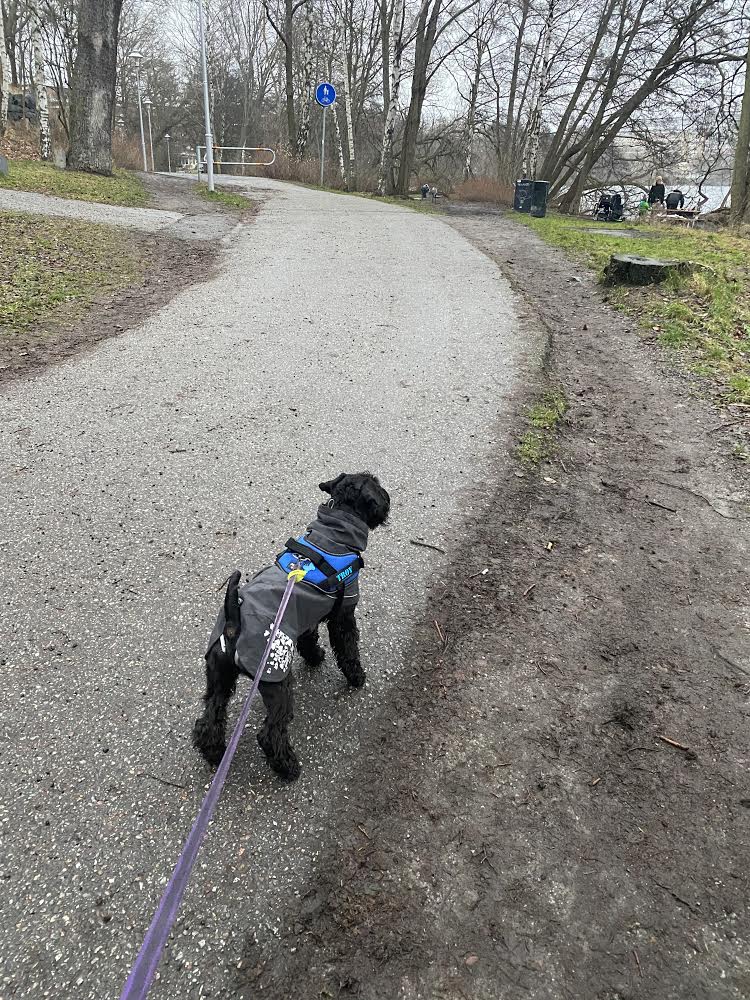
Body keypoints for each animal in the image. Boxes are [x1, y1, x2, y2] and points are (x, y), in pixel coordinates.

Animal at [192, 472, 390, 780]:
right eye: (376, 483)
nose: (388, 499)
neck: (334, 533)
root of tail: (234, 624)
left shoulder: (303, 613)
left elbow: (309, 639)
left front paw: (315, 657)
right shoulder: (343, 615)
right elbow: (348, 649)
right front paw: (356, 677)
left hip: (219, 675)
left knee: (210, 718)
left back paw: (214, 753)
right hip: (277, 685)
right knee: (270, 733)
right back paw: (288, 768)